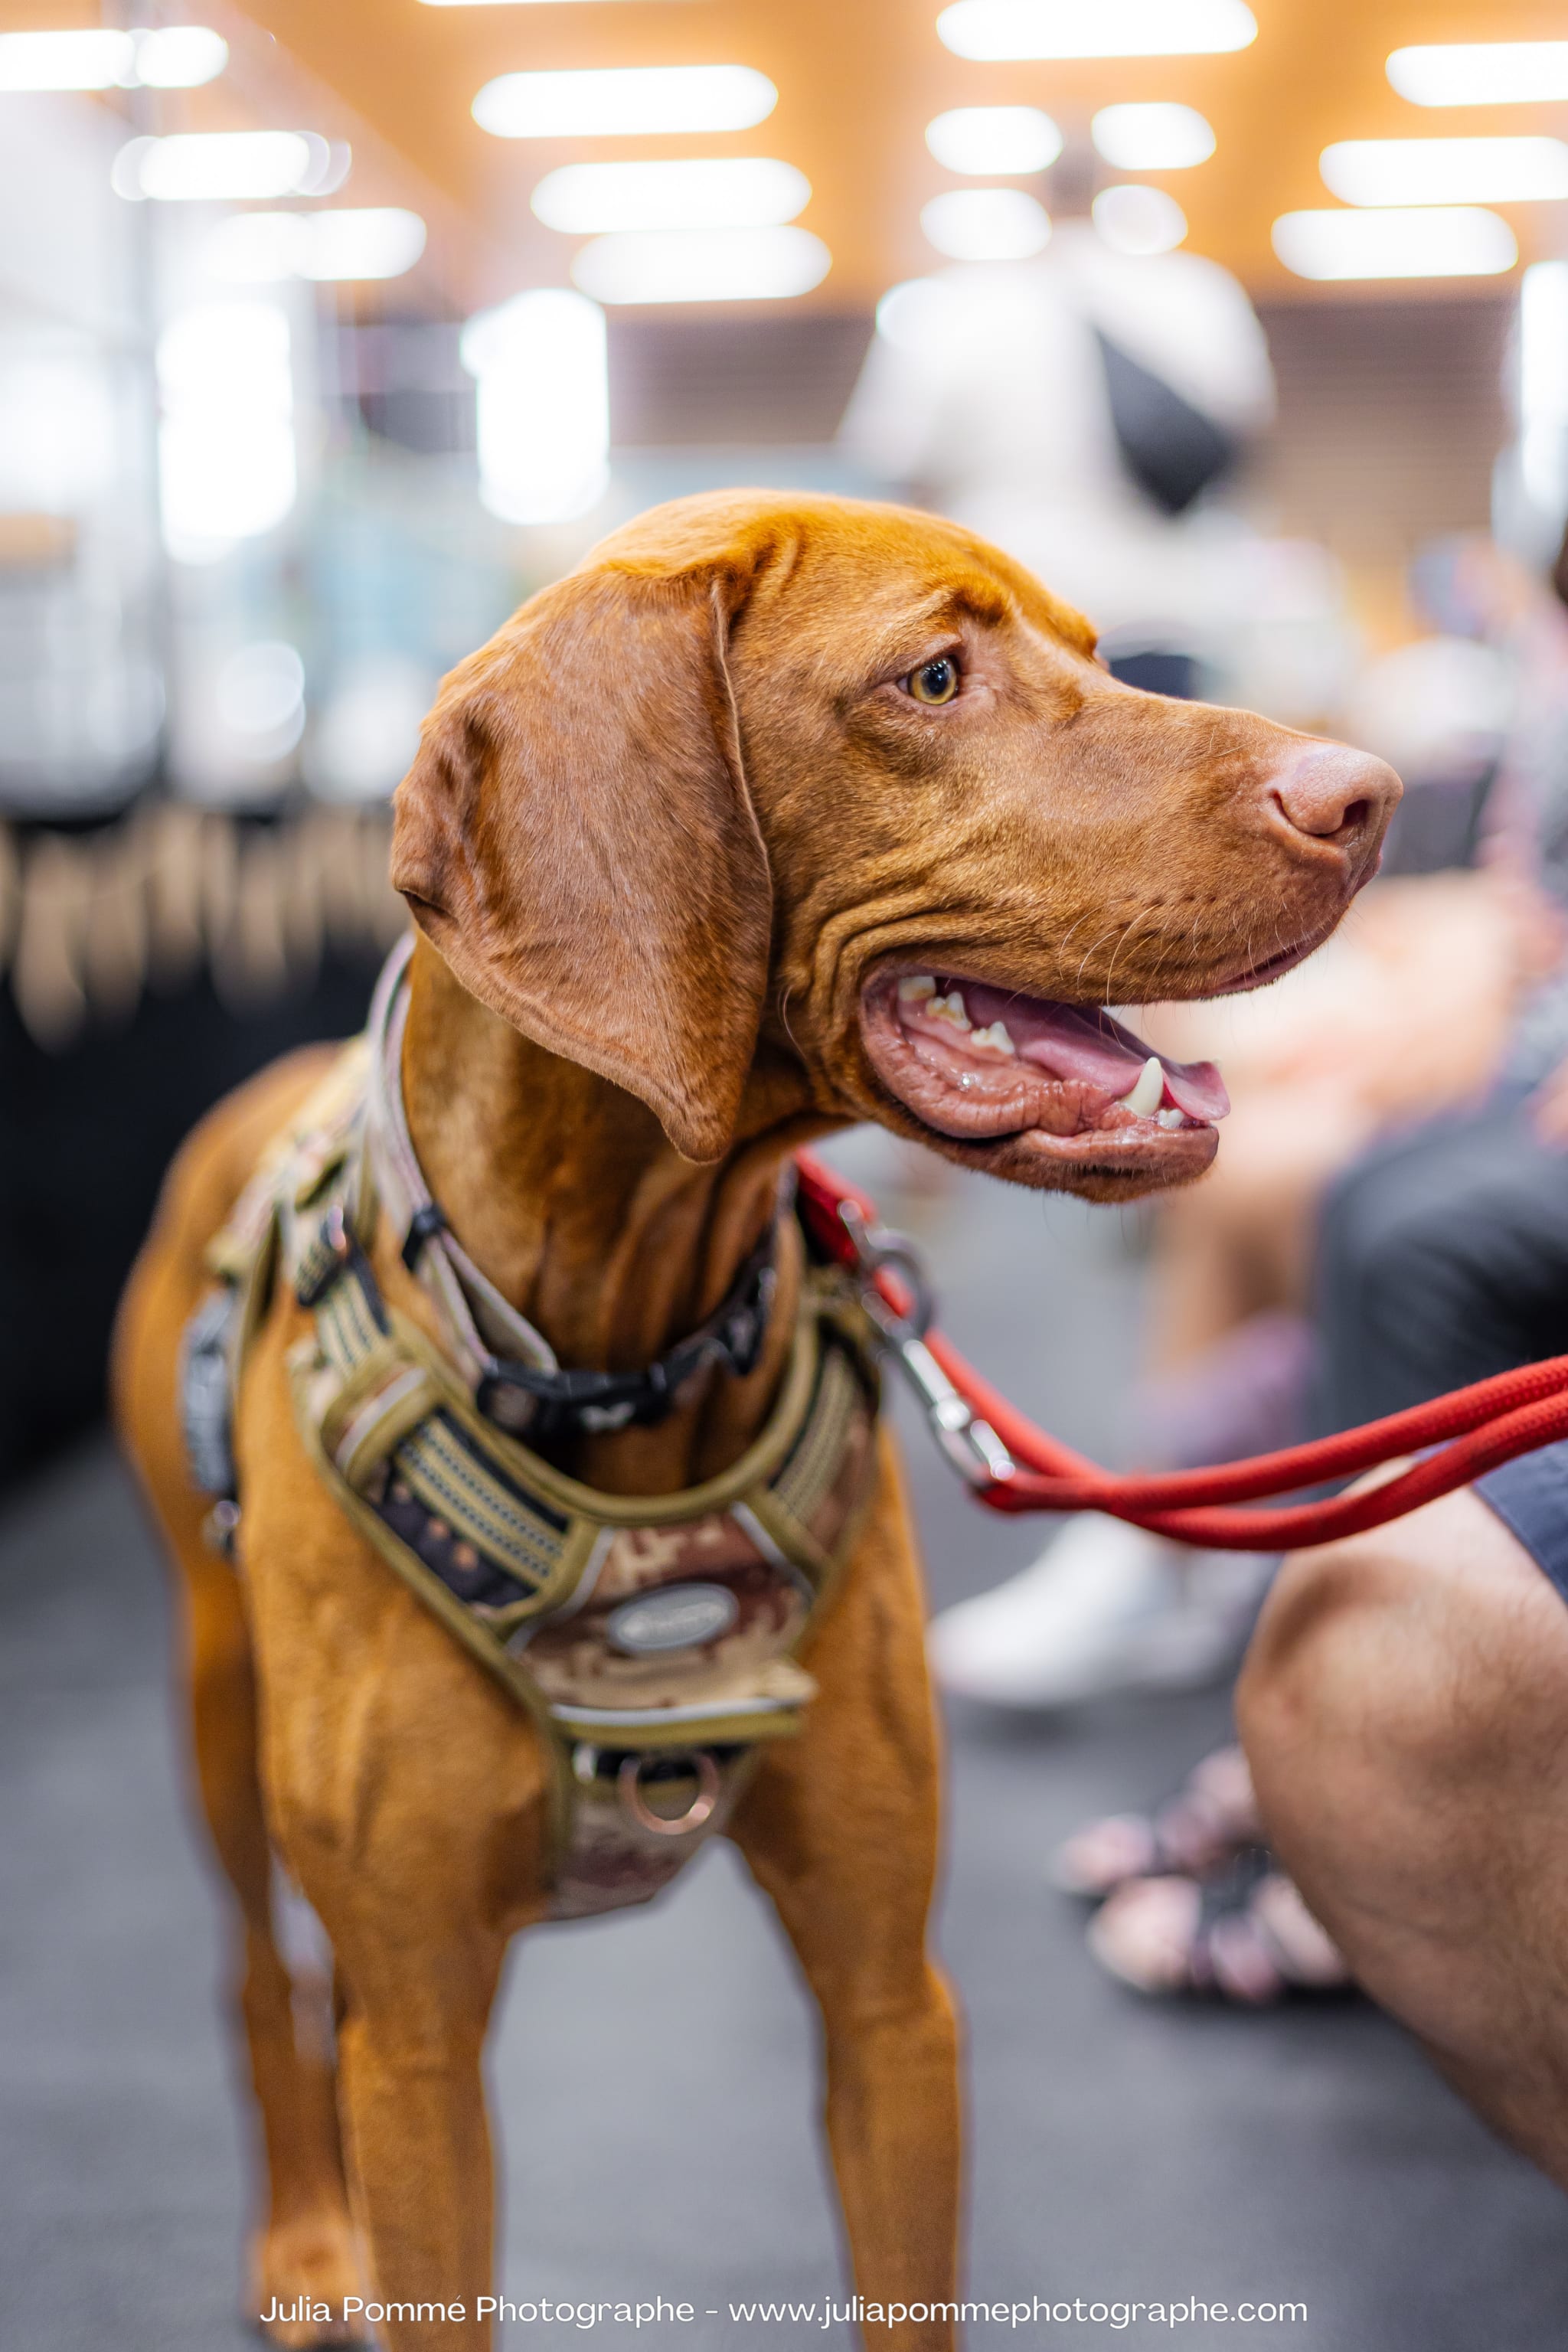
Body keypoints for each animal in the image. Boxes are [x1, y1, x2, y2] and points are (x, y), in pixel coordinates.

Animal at [119, 486, 1400, 2342]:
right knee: (253, 1976)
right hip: (217, 1706)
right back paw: (305, 2235)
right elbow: (363, 2060)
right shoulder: (423, 2040)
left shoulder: (888, 1997)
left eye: (1096, 654)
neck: (616, 1340)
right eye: (933, 676)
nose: (1369, 795)